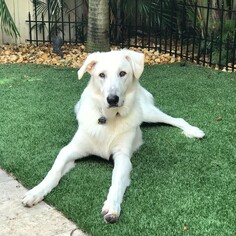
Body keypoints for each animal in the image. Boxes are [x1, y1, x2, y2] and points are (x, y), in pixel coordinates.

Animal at [22, 49, 205, 223]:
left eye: (122, 73)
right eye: (101, 75)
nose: (112, 99)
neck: (107, 118)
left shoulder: (122, 157)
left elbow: (117, 183)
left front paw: (111, 207)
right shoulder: (69, 150)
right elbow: (54, 172)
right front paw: (36, 192)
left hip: (148, 113)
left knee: (176, 119)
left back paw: (194, 131)